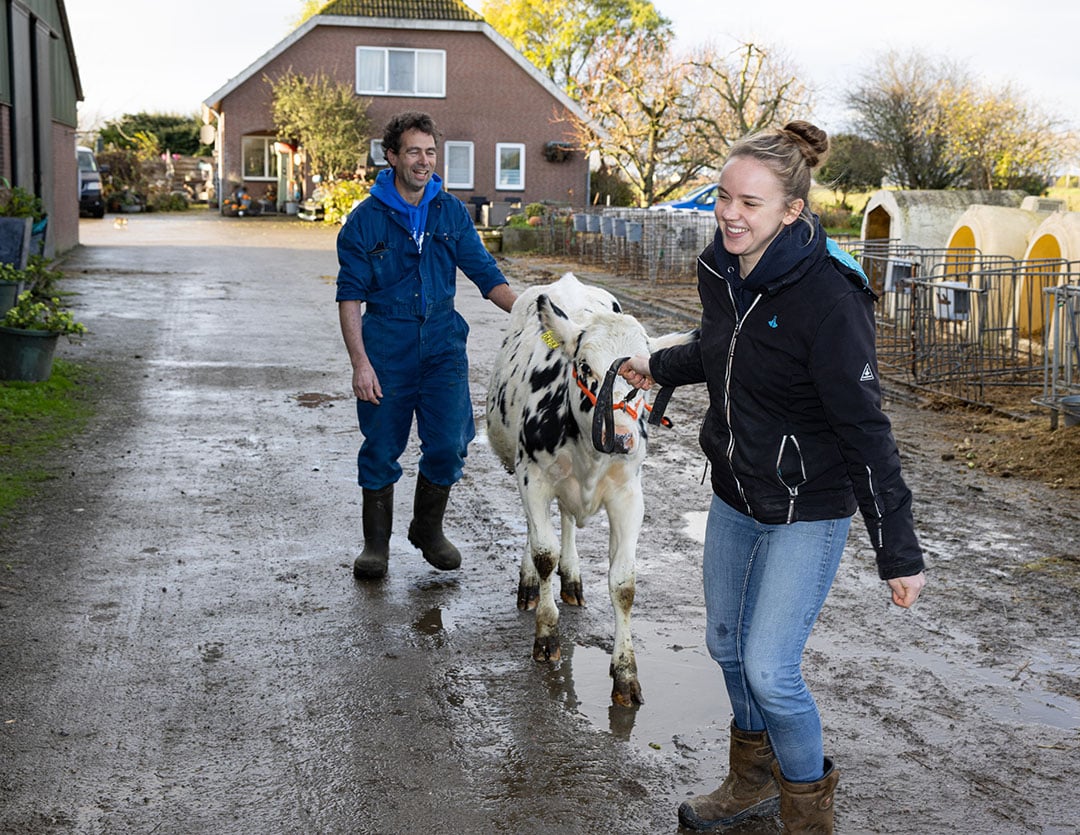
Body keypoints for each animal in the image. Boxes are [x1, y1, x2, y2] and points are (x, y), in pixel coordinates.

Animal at [486, 273, 695, 704]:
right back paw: (530, 584)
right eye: (584, 366)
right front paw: (546, 636)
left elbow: (624, 583)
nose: (620, 438)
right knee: (535, 532)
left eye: (643, 377)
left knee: (566, 520)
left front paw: (626, 673)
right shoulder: (532, 478)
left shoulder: (629, 496)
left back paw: (572, 577)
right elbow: (543, 552)